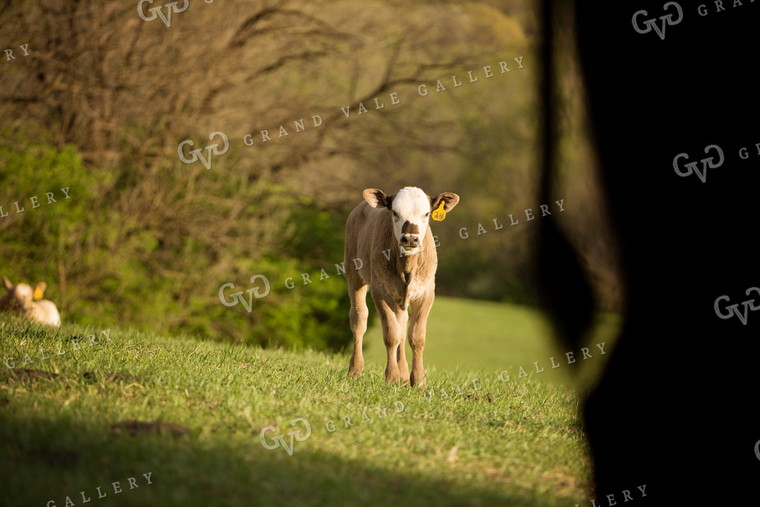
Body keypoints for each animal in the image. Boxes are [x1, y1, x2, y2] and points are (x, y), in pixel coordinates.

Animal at [344, 188, 458, 388]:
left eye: (426, 213)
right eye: (395, 213)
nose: (410, 238)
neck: (407, 269)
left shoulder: (427, 292)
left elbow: (416, 336)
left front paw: (418, 380)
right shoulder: (379, 291)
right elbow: (391, 334)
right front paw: (392, 377)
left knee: (402, 323)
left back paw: (404, 373)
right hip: (354, 274)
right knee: (359, 319)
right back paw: (355, 369)